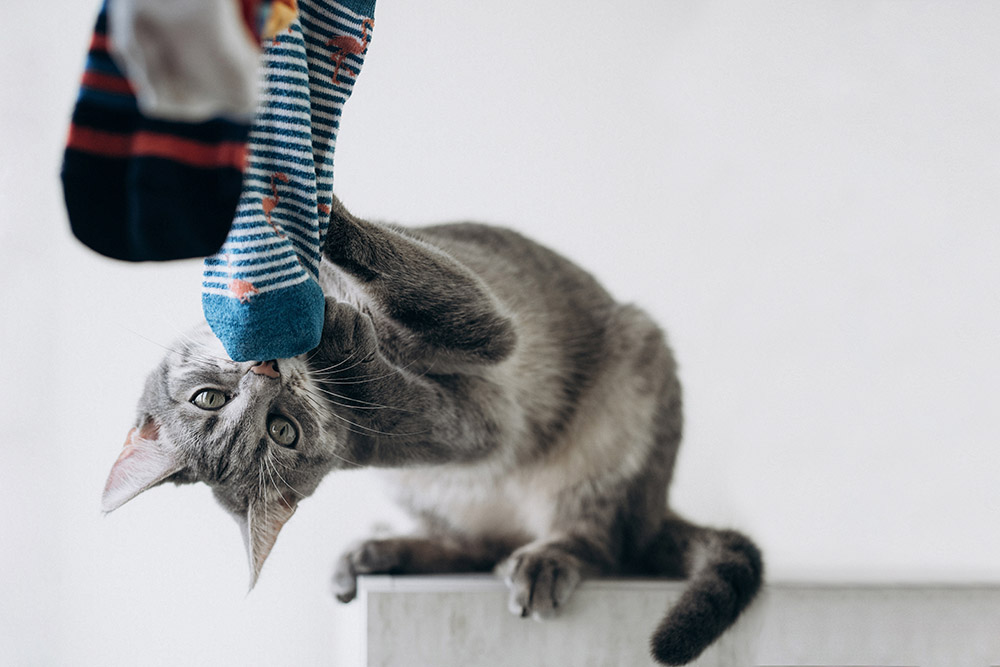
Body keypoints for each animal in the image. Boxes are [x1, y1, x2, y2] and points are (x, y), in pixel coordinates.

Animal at [103, 196, 756, 664]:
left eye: (207, 399)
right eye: (283, 432)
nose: (268, 374)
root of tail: (657, 506)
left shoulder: (478, 341)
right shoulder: (474, 416)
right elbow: (415, 359)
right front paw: (346, 337)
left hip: (628, 377)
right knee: (566, 546)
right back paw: (425, 554)